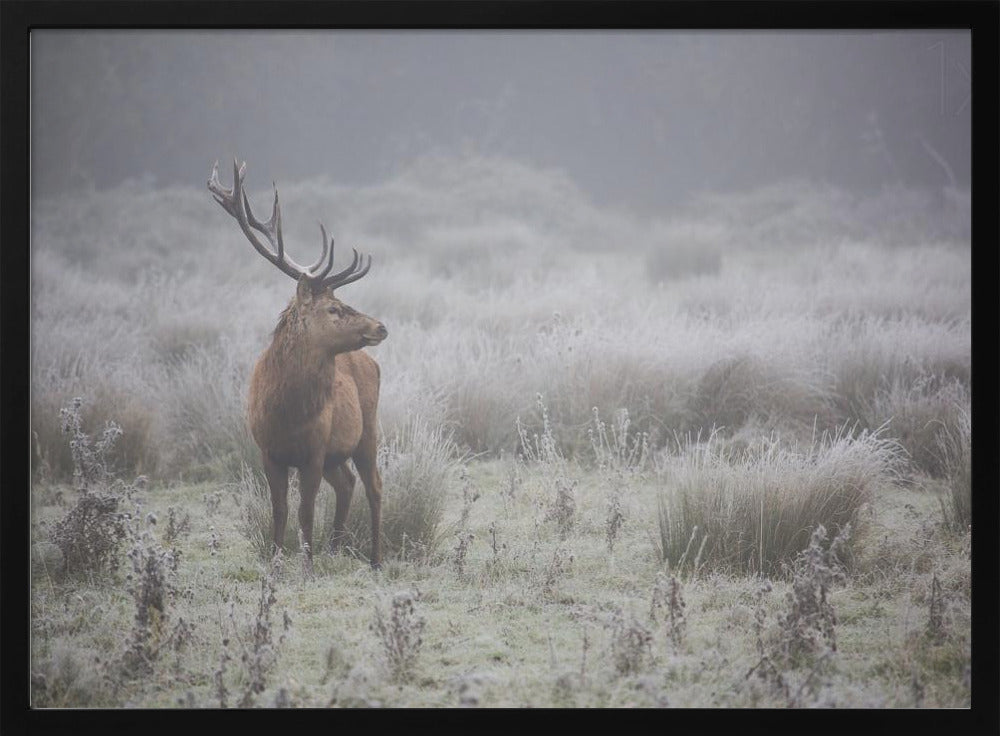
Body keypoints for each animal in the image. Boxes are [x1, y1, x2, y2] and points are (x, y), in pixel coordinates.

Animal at [208, 159, 388, 571]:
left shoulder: (314, 451)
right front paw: (277, 561)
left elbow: (305, 511)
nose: (380, 326)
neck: (286, 412)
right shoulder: (268, 452)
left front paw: (306, 566)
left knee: (374, 486)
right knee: (348, 483)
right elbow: (280, 511)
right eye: (334, 308)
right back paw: (335, 548)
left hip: (368, 429)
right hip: (339, 452)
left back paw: (374, 559)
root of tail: (371, 363)